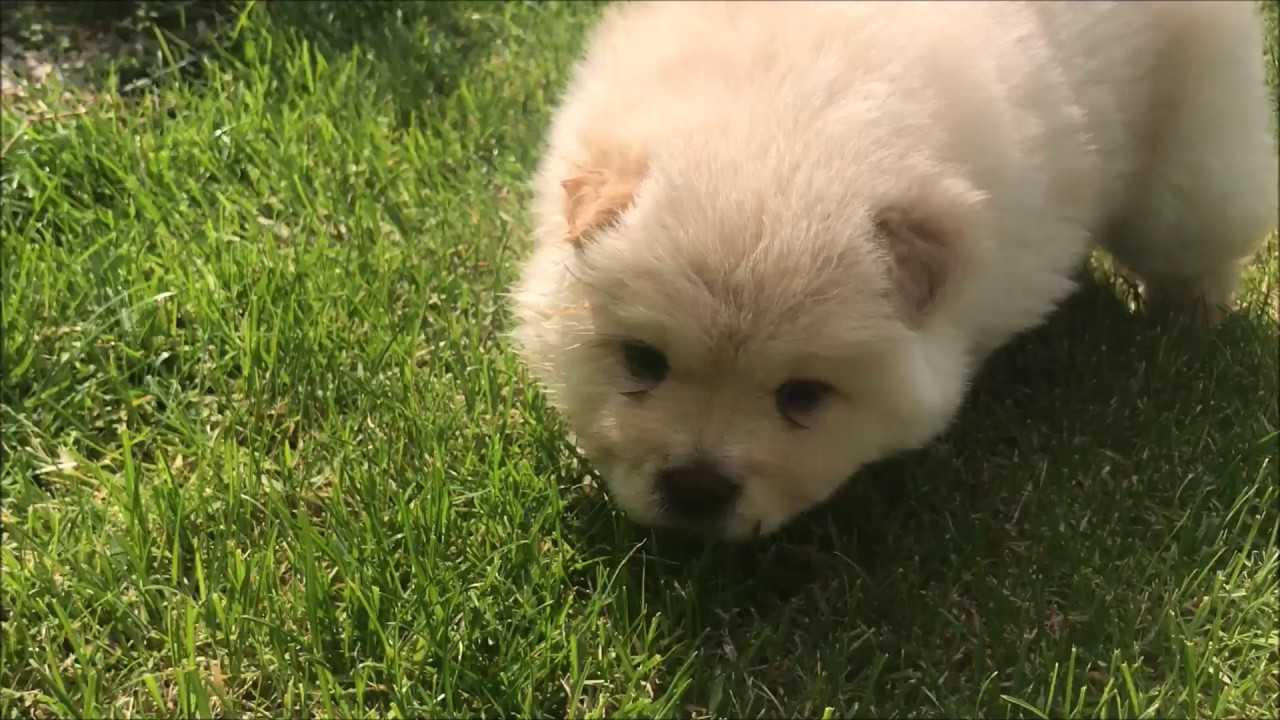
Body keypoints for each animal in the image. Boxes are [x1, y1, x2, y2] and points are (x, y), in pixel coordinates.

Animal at [512, 1, 1280, 538]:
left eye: (803, 397)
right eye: (641, 361)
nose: (698, 487)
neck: (783, 125)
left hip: (1190, 165)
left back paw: (1188, 322)